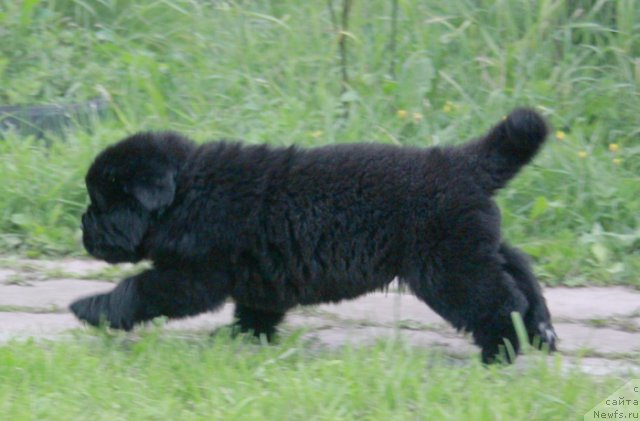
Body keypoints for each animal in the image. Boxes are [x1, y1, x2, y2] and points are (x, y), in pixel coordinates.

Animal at [72, 107, 556, 360]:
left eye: (102, 203)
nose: (82, 229)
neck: (188, 190)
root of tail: (465, 163)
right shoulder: (258, 277)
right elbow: (257, 309)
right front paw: (243, 339)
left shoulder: (193, 274)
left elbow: (138, 288)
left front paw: (91, 308)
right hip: (475, 243)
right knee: (519, 272)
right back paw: (542, 333)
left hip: (447, 265)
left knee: (496, 301)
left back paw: (501, 350)